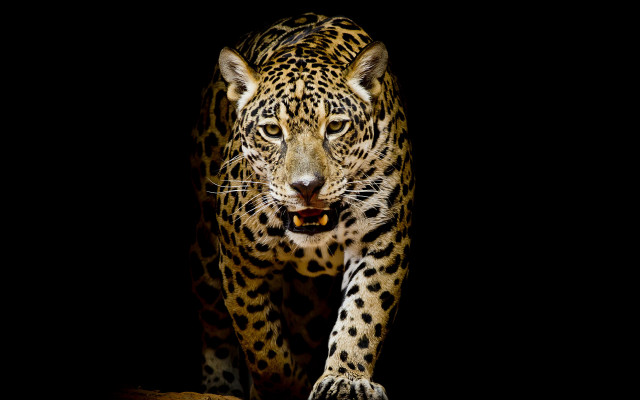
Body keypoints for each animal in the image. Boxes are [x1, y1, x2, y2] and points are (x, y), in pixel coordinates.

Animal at [189, 12, 414, 400]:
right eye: (272, 131)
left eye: (335, 127)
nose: (306, 187)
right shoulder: (238, 257)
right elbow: (260, 341)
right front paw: (283, 386)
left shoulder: (383, 241)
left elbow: (364, 314)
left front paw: (344, 379)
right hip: (205, 250)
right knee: (214, 323)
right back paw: (219, 384)